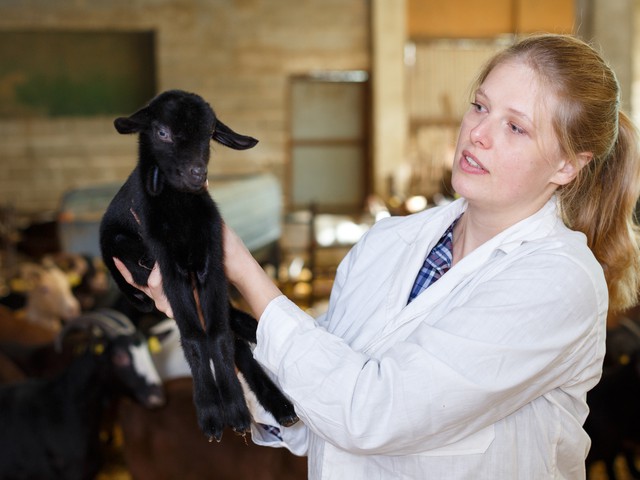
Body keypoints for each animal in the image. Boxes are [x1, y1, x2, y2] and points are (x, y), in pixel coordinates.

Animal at [100, 90, 300, 442]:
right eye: (162, 132)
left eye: (209, 135)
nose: (197, 174)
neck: (180, 211)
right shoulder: (169, 269)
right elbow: (194, 337)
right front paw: (210, 412)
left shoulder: (213, 259)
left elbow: (218, 336)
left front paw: (234, 410)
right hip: (119, 246)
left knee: (235, 333)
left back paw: (278, 402)